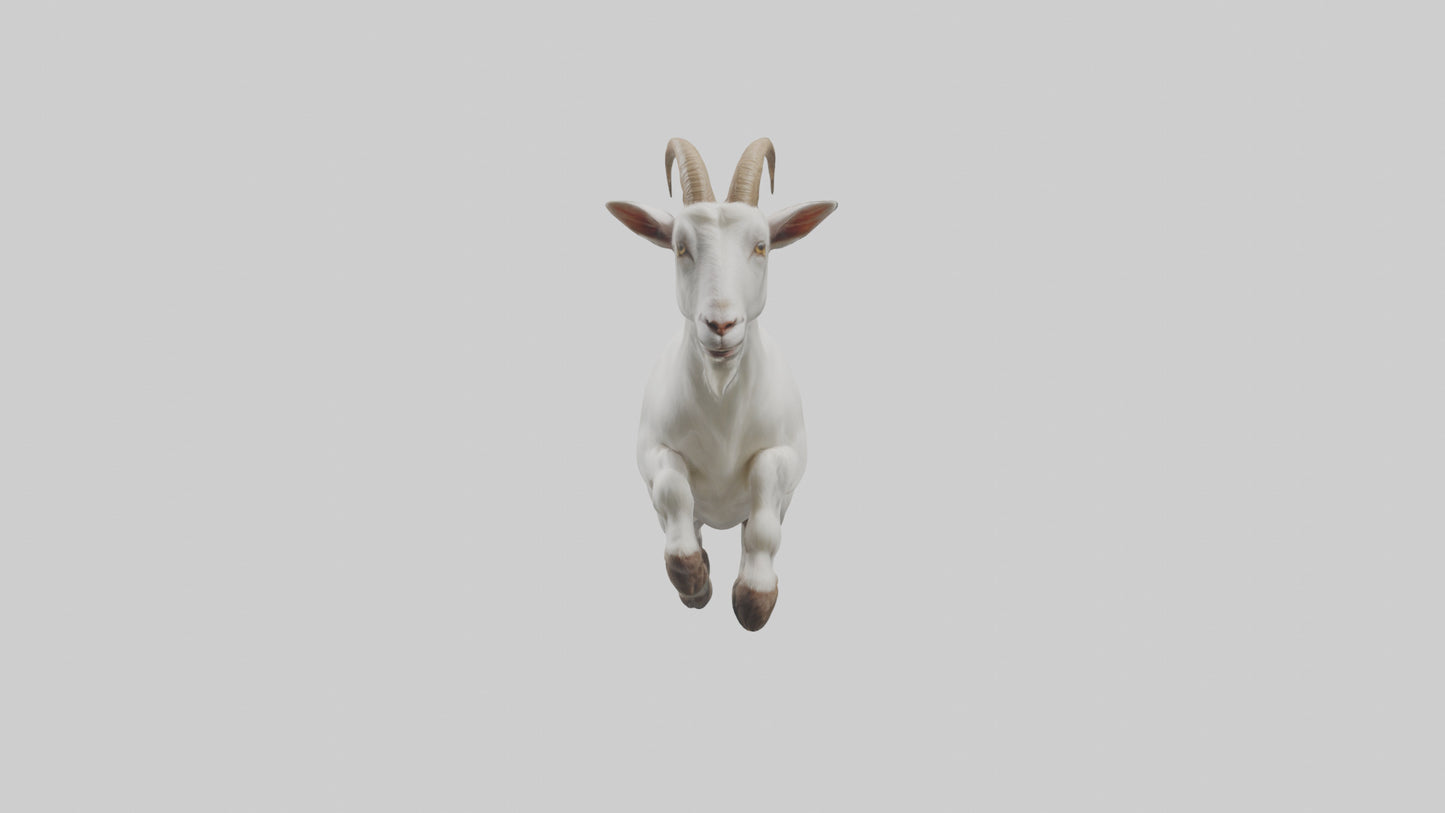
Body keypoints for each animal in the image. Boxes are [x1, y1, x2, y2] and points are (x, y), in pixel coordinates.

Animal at [606, 138, 836, 630]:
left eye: (762, 246)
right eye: (679, 247)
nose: (721, 324)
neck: (721, 403)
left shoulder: (789, 452)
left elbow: (766, 492)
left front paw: (754, 598)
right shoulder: (651, 448)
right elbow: (672, 488)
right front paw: (691, 577)